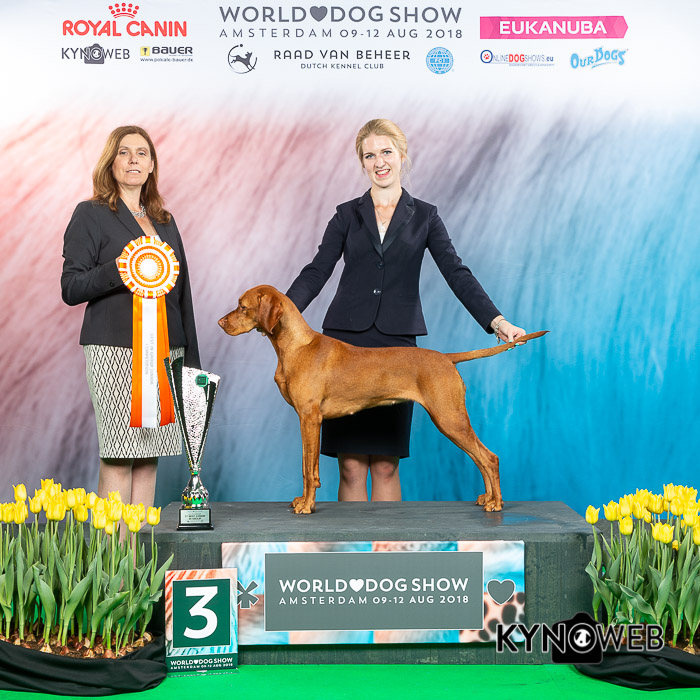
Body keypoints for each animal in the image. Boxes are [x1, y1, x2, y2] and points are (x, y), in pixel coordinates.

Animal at [219, 285, 546, 514]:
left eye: (242, 306)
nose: (221, 322)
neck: (297, 346)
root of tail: (446, 358)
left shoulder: (309, 418)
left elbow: (307, 468)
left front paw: (307, 505)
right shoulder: (308, 421)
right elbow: (309, 465)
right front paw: (304, 500)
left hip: (449, 417)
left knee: (489, 457)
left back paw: (496, 503)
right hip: (451, 419)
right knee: (480, 458)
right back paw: (487, 498)